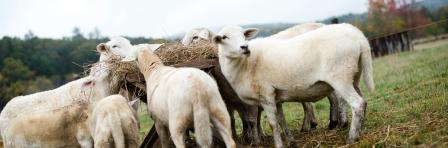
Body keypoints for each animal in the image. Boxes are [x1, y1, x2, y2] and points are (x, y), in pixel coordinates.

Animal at [97, 39, 238, 148]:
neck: (155, 70)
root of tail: (197, 88)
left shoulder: (158, 122)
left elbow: (165, 143)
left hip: (177, 122)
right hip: (219, 111)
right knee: (231, 142)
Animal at [214, 23, 374, 147]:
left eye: (244, 34)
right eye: (224, 37)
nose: (245, 47)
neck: (244, 64)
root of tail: (358, 35)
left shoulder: (266, 94)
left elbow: (272, 123)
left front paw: (278, 144)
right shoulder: (275, 96)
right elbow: (281, 120)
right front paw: (291, 141)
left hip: (340, 77)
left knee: (357, 104)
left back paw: (351, 138)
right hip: (354, 75)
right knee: (363, 101)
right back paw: (360, 132)